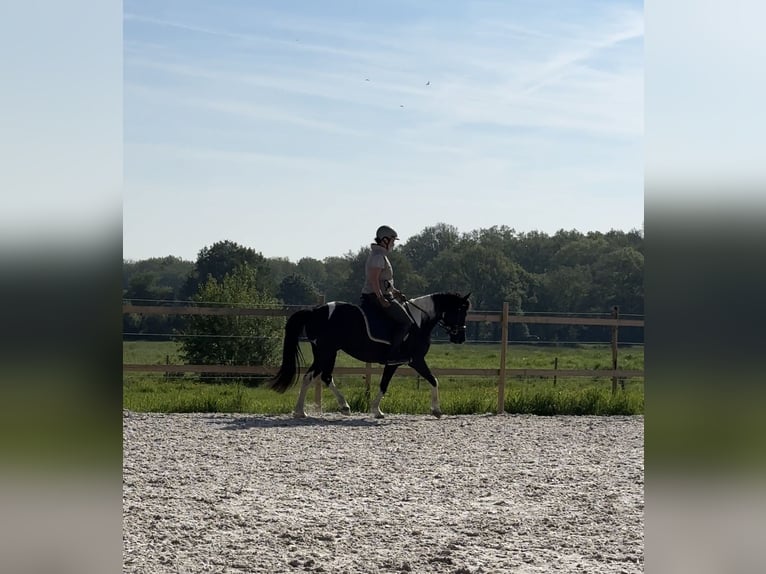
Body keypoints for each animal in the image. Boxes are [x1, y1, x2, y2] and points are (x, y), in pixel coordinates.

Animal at [270, 292, 474, 418]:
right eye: (460, 310)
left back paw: (302, 411)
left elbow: (385, 384)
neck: (418, 322)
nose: (461, 338)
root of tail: (314, 311)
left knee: (314, 377)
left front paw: (376, 410)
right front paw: (436, 410)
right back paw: (341, 407)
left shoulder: (396, 364)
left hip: (324, 353)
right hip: (326, 352)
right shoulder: (414, 360)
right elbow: (432, 380)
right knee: (321, 376)